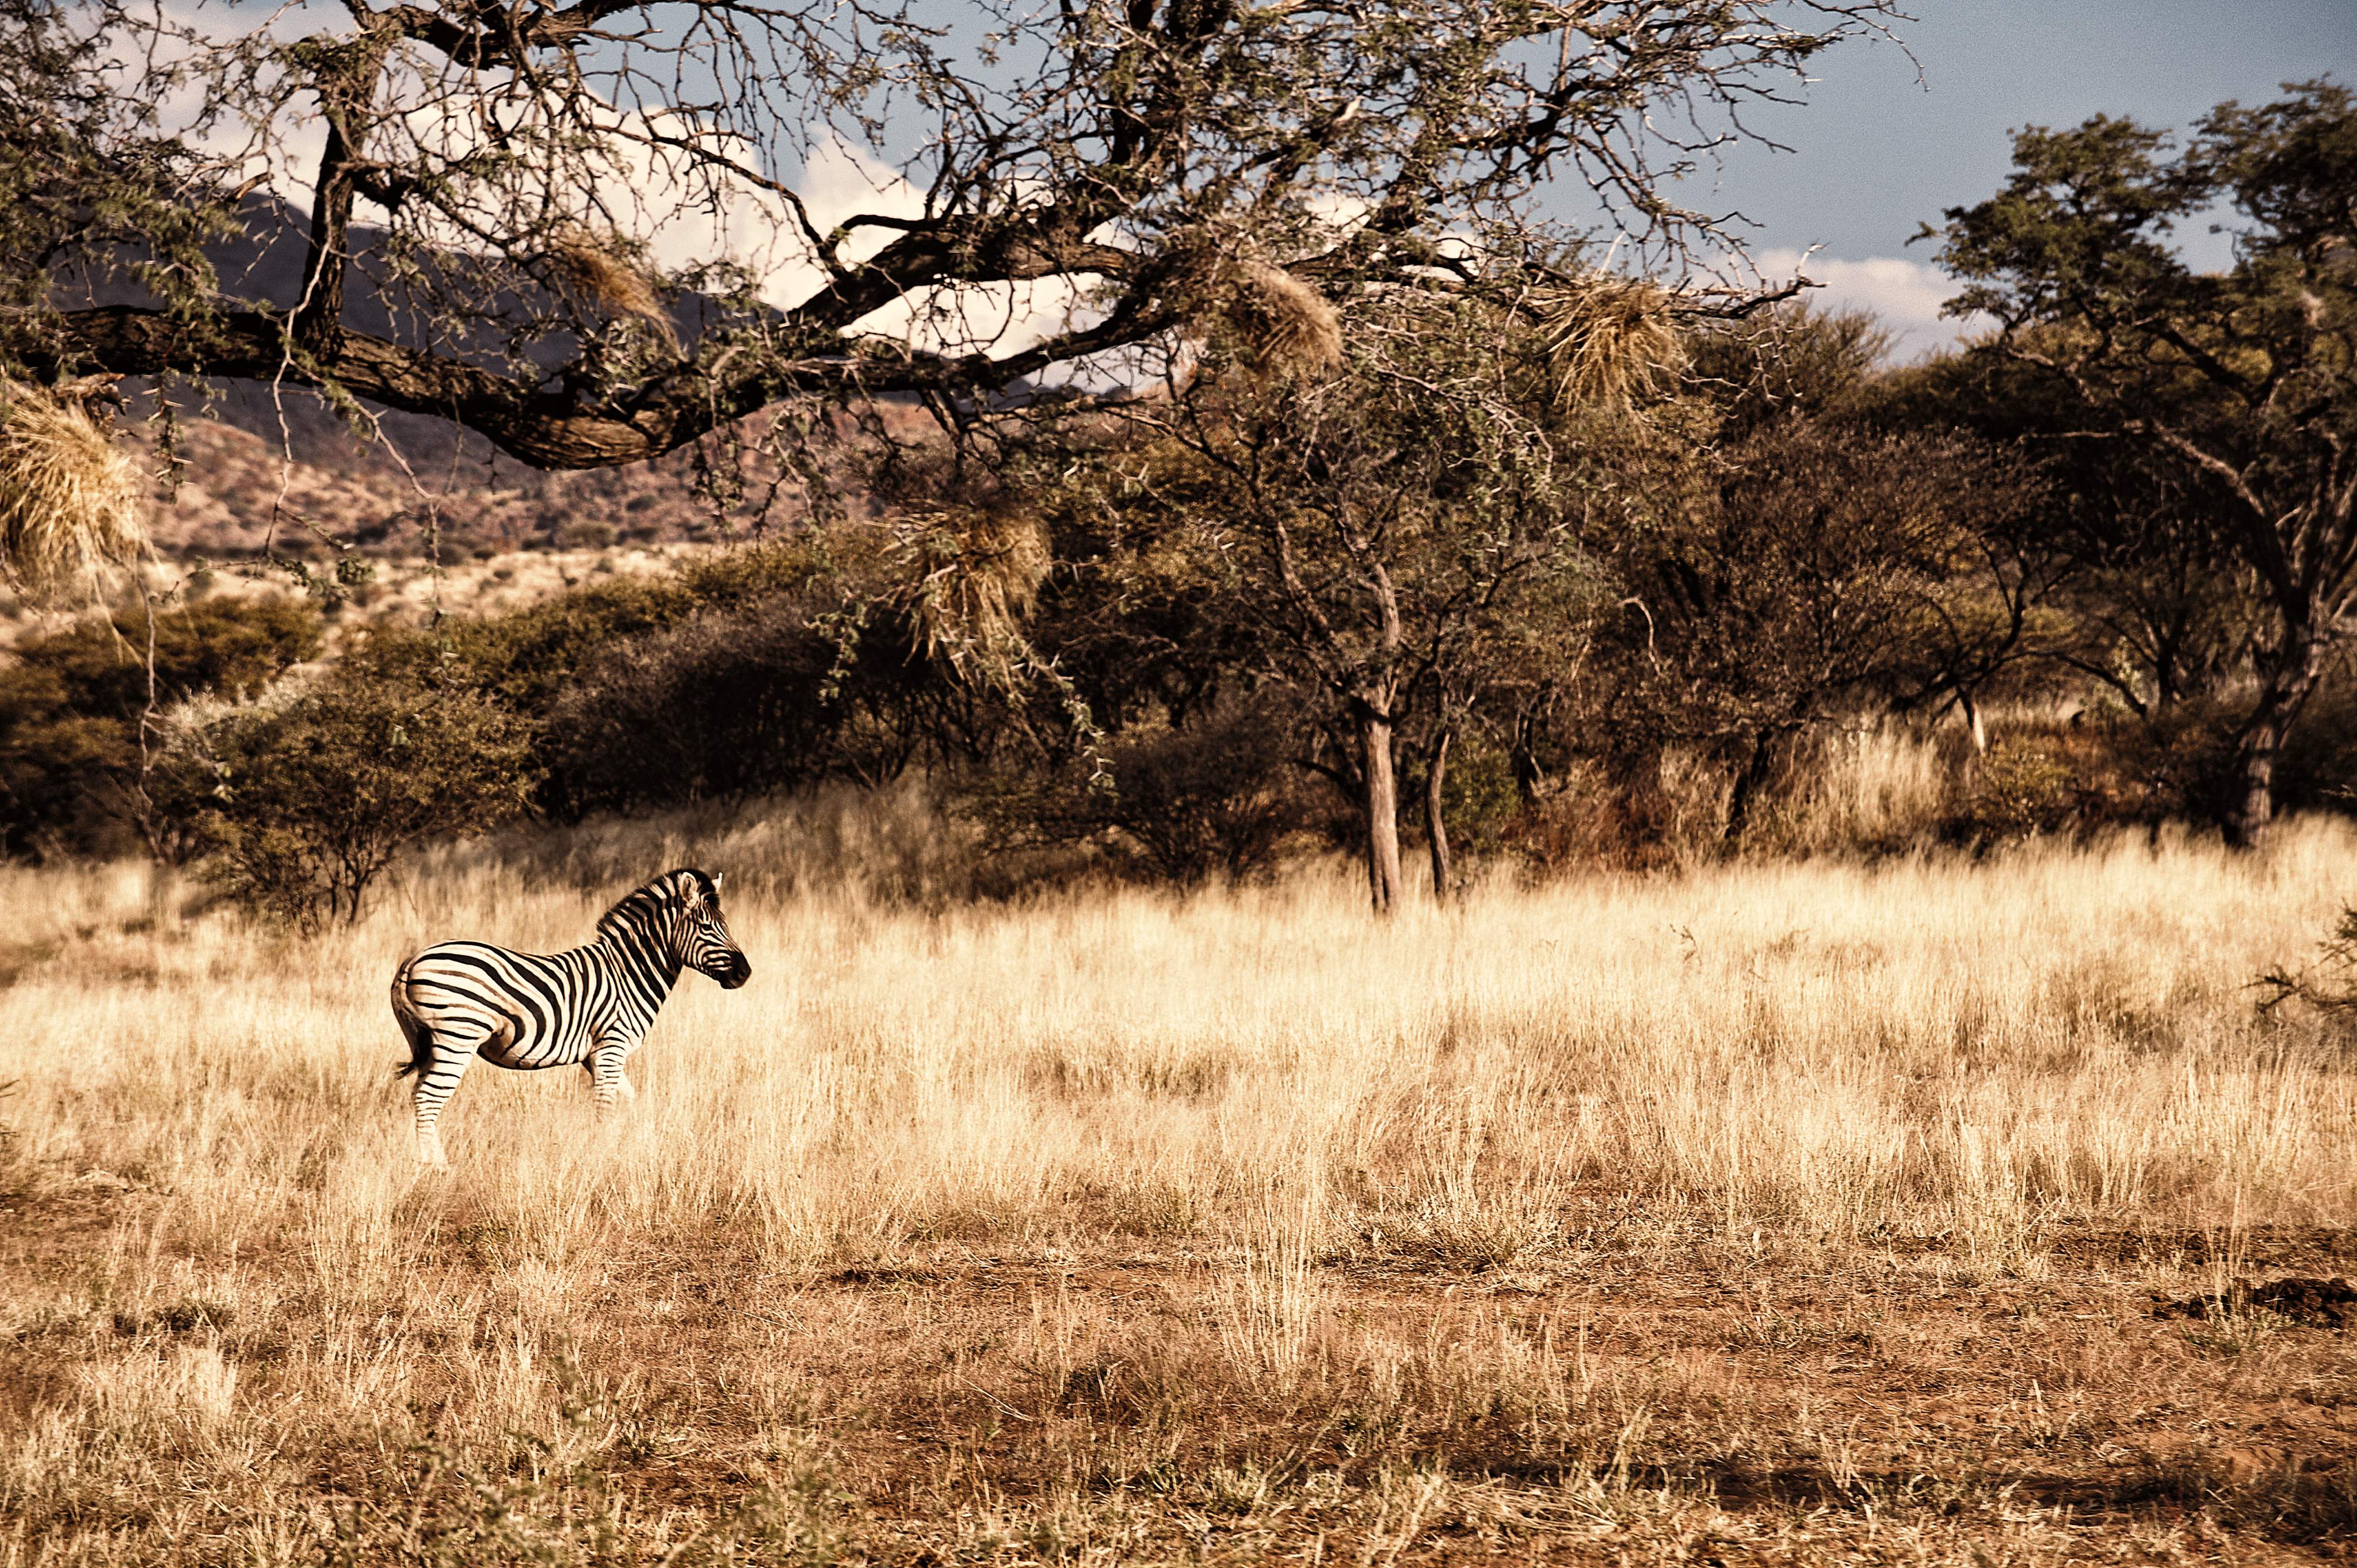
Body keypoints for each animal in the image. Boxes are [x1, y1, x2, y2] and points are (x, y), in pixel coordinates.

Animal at [390, 867, 751, 1166]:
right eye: (706, 927)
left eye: (725, 925)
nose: (745, 974)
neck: (629, 973)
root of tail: (413, 961)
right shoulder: (611, 1047)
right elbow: (605, 1108)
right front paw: (603, 1158)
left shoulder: (597, 1055)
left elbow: (627, 1101)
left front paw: (626, 1146)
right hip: (458, 1037)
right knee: (428, 1100)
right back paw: (438, 1169)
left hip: (430, 1043)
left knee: (418, 1096)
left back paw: (427, 1163)